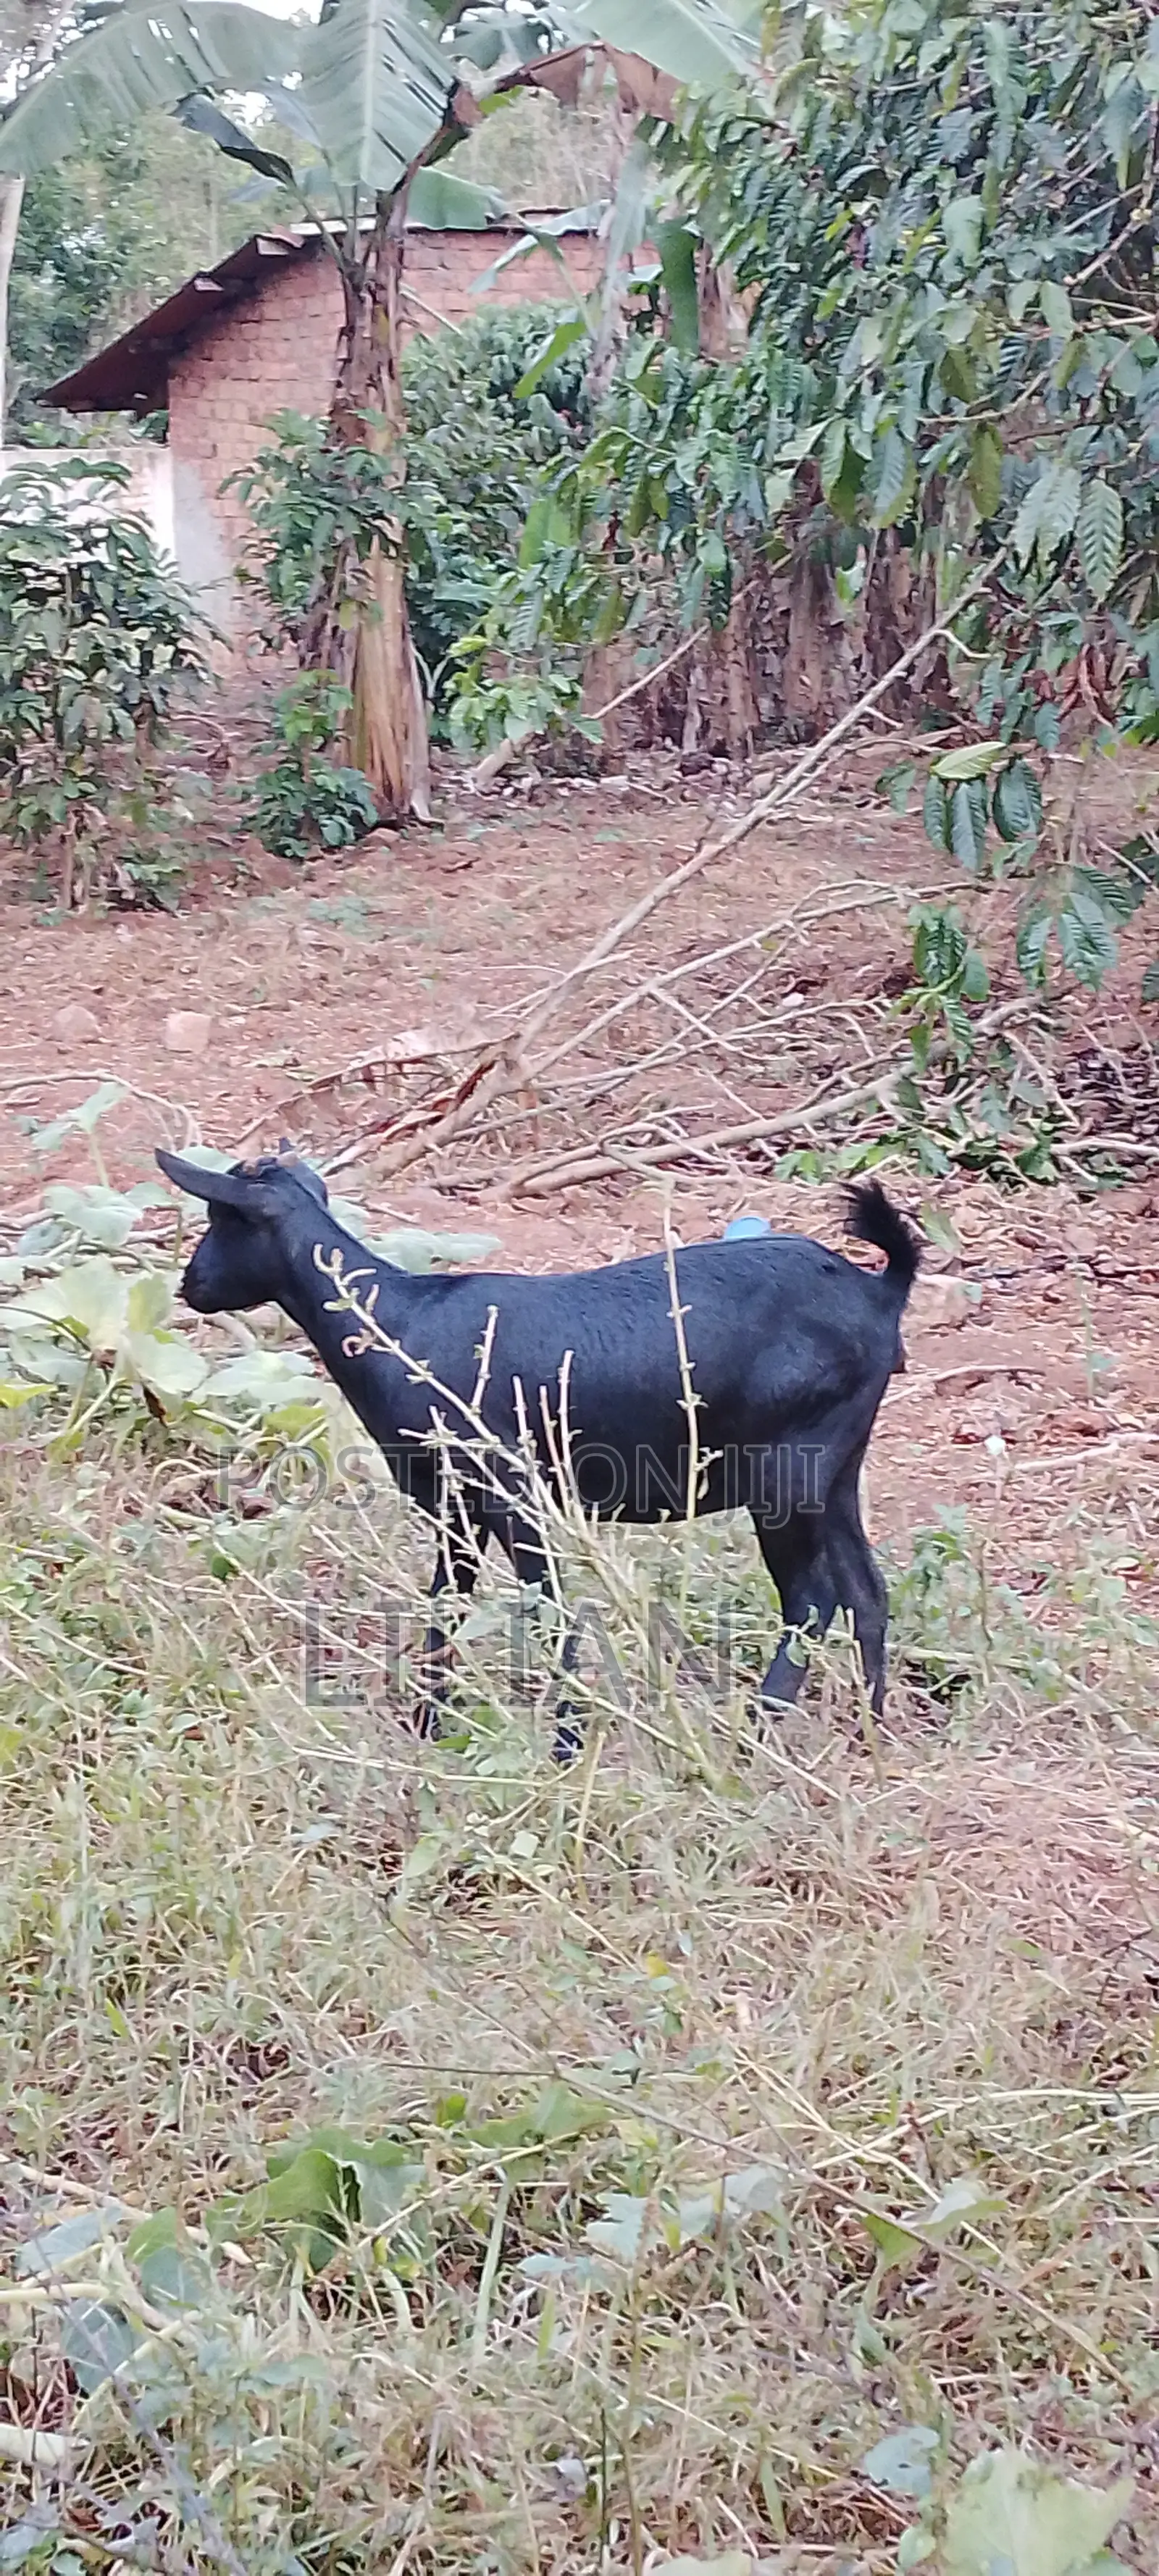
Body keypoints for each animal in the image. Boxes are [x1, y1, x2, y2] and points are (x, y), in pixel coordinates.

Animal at [156, 1147, 919, 1756]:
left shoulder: (514, 1493)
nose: (190, 1284)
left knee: (812, 1599)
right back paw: (869, 1729)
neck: (399, 1324)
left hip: (786, 1468)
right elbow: (446, 1604)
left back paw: (758, 1734)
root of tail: (881, 1291)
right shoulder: (454, 1504)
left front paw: (566, 1745)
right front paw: (430, 1728)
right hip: (837, 1465)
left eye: (222, 1218)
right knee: (866, 1590)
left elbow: (546, 1608)